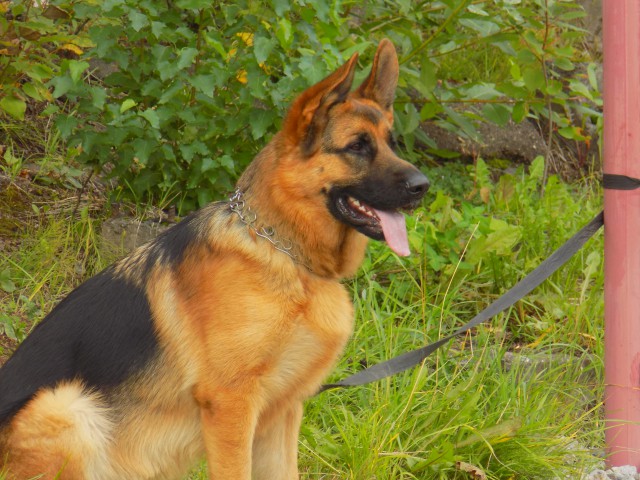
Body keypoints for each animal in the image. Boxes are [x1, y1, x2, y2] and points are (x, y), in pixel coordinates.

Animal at [0, 39, 428, 479]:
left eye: (392, 143)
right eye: (357, 146)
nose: (423, 186)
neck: (283, 254)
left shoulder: (283, 413)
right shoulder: (230, 405)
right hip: (68, 407)